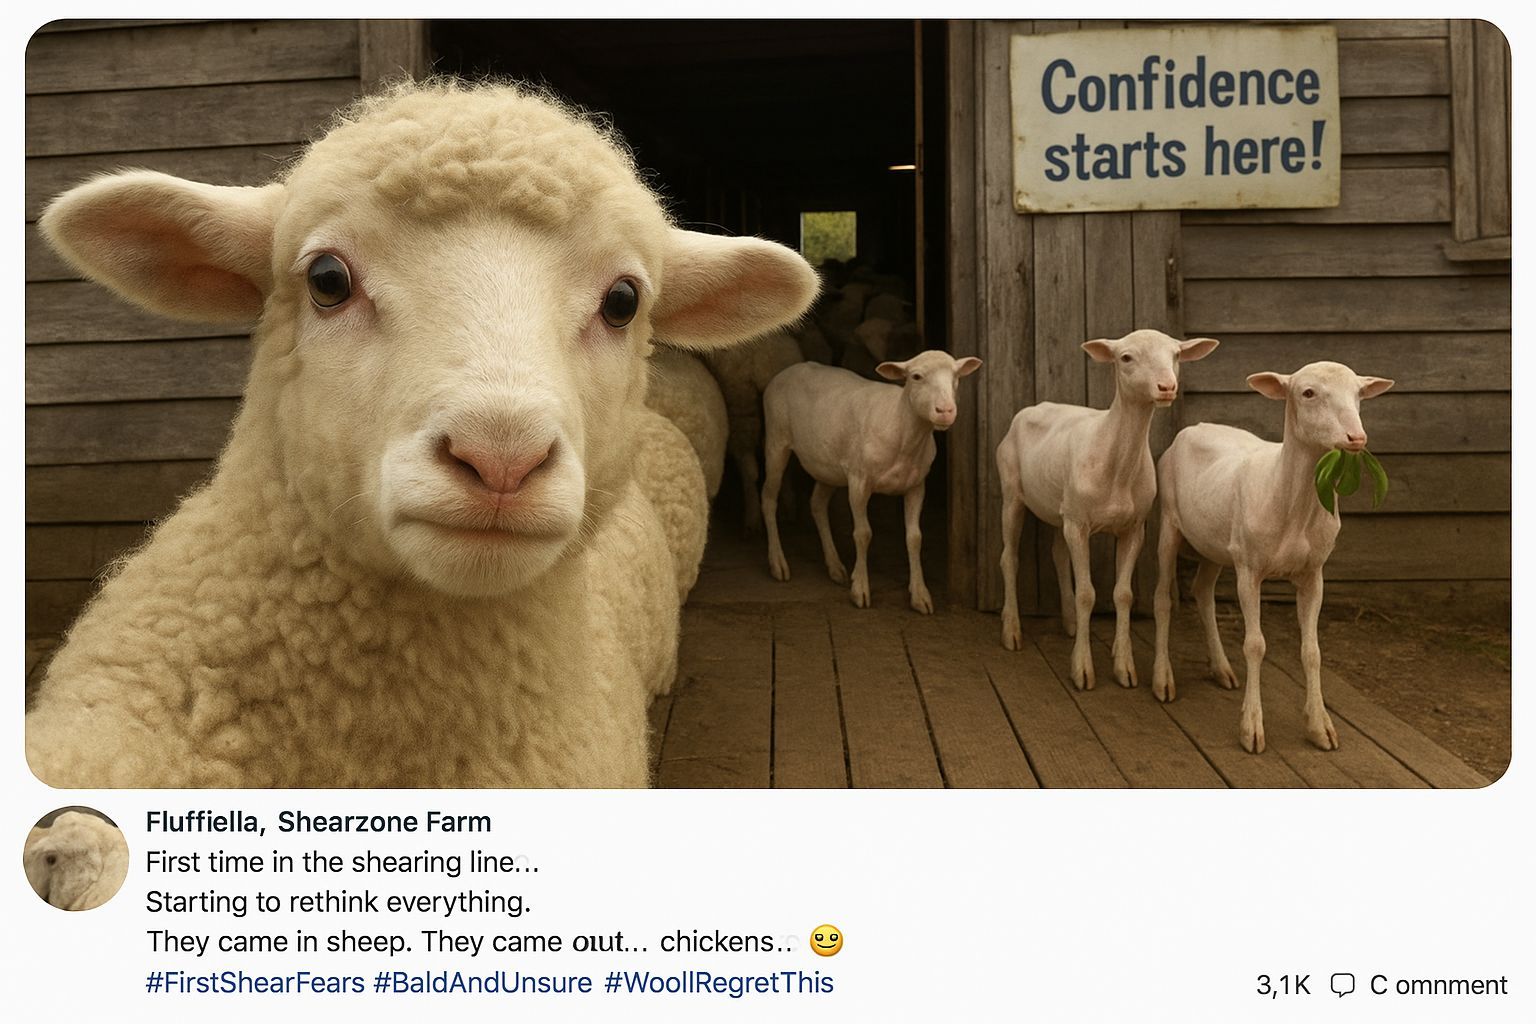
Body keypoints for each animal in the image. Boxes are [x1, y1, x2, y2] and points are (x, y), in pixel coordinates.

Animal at [761, 350, 982, 612]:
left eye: (956, 376)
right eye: (916, 376)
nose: (945, 410)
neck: (900, 429)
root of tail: (791, 369)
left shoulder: (916, 485)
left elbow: (914, 538)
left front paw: (920, 595)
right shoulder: (858, 481)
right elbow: (863, 534)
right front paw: (860, 590)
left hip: (828, 465)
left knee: (817, 504)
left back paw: (835, 566)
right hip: (776, 441)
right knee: (768, 498)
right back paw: (778, 563)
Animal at [996, 329, 1219, 689]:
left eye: (1175, 355)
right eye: (1125, 357)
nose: (1166, 387)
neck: (1114, 465)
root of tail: (1037, 405)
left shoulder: (1132, 526)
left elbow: (1123, 594)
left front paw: (1124, 665)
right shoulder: (1079, 523)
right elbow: (1088, 593)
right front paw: (1083, 670)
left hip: (1060, 507)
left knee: (1058, 554)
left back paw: (1071, 623)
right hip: (1012, 490)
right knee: (1009, 557)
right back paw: (1012, 630)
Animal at [1150, 361, 1394, 753]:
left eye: (1359, 393)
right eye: (1308, 393)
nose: (1356, 438)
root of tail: (1196, 426)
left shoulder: (1313, 572)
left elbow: (1312, 651)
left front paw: (1320, 727)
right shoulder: (1249, 568)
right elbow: (1255, 645)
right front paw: (1251, 728)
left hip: (1217, 542)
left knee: (1203, 592)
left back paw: (1221, 669)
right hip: (1170, 523)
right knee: (1162, 598)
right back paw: (1163, 680)